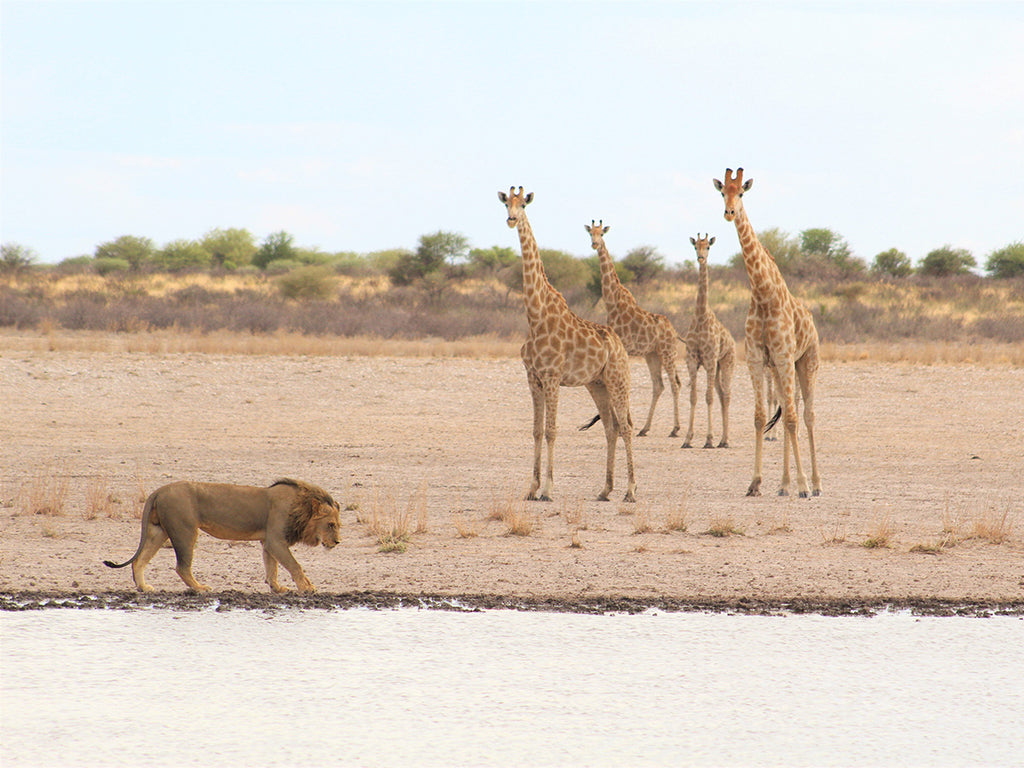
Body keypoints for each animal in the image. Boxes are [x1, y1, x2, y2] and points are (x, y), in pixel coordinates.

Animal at [104, 478, 341, 593]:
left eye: (338, 525)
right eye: (330, 525)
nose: (338, 542)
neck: (301, 508)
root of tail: (159, 490)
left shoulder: (268, 541)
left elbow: (271, 568)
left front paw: (278, 588)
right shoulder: (276, 539)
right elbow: (294, 565)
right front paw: (307, 587)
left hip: (158, 531)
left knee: (139, 562)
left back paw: (143, 587)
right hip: (185, 530)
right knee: (182, 567)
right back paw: (200, 588)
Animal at [498, 187, 637, 503]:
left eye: (523, 205)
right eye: (505, 203)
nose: (511, 220)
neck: (535, 315)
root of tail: (620, 345)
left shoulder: (552, 376)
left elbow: (551, 430)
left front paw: (548, 490)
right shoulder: (533, 378)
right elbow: (536, 431)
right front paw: (532, 488)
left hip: (618, 379)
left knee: (625, 426)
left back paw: (631, 491)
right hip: (597, 384)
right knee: (611, 427)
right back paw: (605, 489)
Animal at [586, 220, 683, 437]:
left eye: (601, 233)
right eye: (590, 233)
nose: (594, 244)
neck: (611, 302)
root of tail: (674, 331)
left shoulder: (624, 349)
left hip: (667, 352)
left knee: (675, 384)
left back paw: (675, 429)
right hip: (652, 354)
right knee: (659, 385)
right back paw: (645, 428)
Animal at [682, 234, 736, 449]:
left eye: (708, 247)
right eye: (695, 246)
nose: (701, 257)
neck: (700, 317)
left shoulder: (711, 358)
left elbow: (708, 397)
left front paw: (708, 439)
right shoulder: (692, 359)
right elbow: (693, 397)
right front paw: (687, 439)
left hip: (726, 362)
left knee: (726, 395)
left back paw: (725, 440)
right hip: (717, 366)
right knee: (721, 394)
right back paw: (723, 439)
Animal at [713, 168, 822, 497]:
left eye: (742, 192)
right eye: (722, 192)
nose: (729, 212)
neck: (763, 294)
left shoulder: (785, 357)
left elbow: (793, 419)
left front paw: (803, 485)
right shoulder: (756, 358)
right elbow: (761, 417)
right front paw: (756, 482)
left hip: (806, 362)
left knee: (807, 415)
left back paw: (815, 483)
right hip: (779, 367)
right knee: (788, 411)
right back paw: (784, 484)